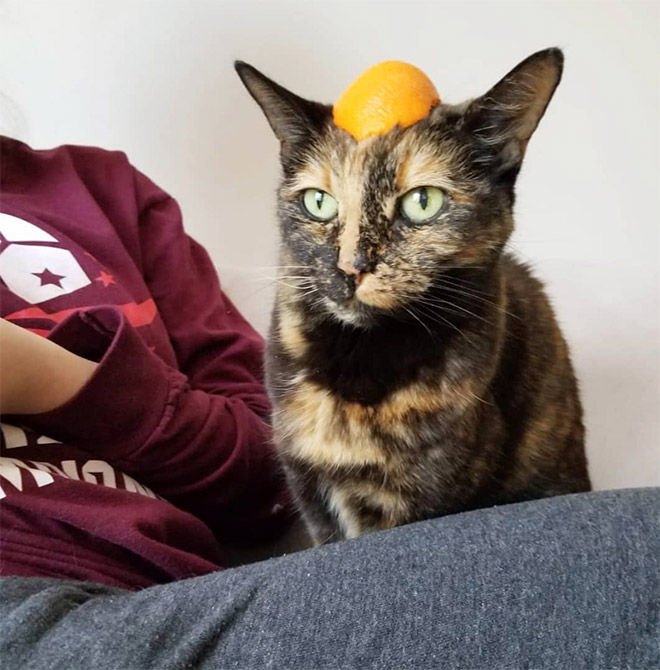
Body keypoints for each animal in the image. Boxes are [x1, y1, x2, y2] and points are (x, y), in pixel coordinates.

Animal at [237, 51, 592, 544]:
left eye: (423, 202)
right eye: (318, 202)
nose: (351, 267)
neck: (361, 363)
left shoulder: (425, 499)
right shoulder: (310, 494)